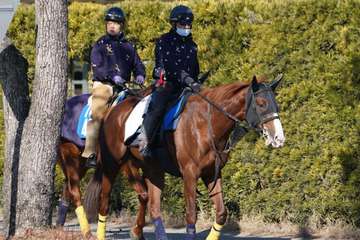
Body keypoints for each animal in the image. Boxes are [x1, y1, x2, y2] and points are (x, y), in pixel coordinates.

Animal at [83, 75, 284, 240]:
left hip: (152, 170)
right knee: (104, 202)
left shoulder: (211, 174)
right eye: (261, 103)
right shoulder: (190, 174)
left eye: (276, 104)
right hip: (112, 165)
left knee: (152, 205)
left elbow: (221, 213)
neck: (206, 123)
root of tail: (113, 111)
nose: (279, 138)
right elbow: (191, 216)